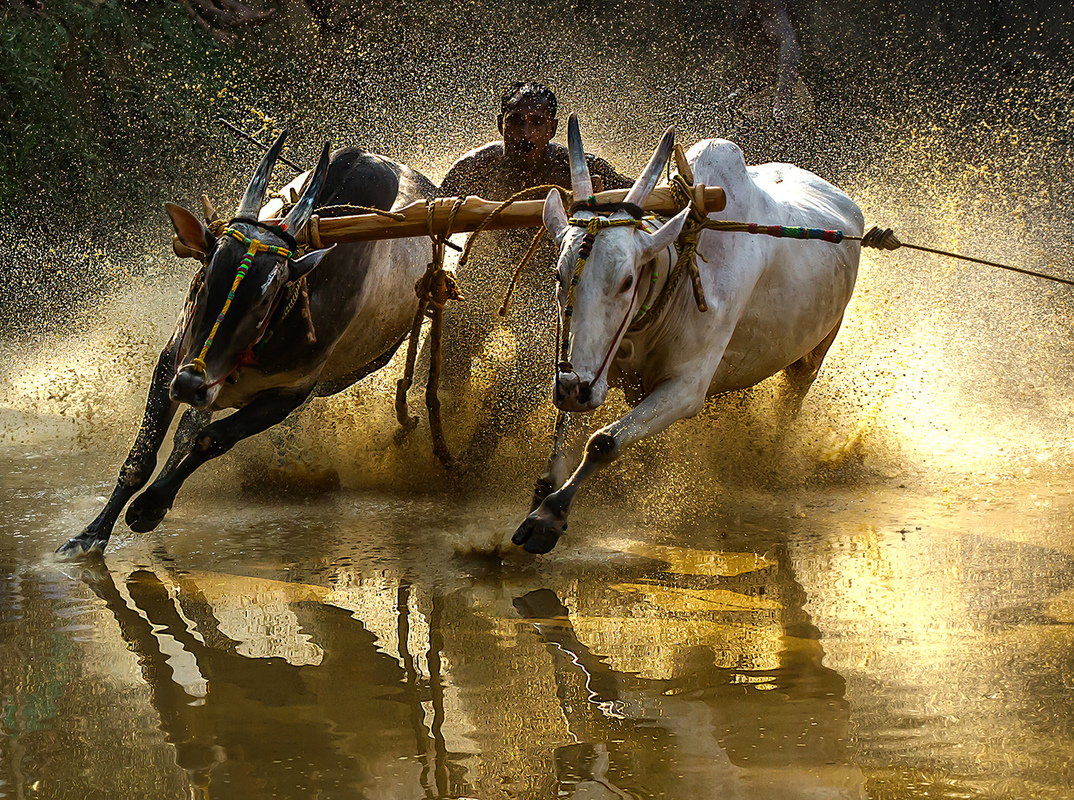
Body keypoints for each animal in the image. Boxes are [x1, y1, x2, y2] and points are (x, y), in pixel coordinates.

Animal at [57, 131, 436, 556]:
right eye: (206, 275)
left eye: (266, 297)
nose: (190, 385)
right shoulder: (174, 358)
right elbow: (141, 458)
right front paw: (91, 534)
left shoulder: (292, 392)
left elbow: (212, 439)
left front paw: (150, 506)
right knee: (188, 423)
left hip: (346, 375)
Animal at [513, 114, 864, 554]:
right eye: (558, 274)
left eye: (627, 281)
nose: (574, 389)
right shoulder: (596, 369)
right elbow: (564, 434)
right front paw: (541, 499)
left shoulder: (686, 387)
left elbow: (604, 442)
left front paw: (550, 514)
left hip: (815, 351)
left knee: (789, 406)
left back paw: (770, 464)